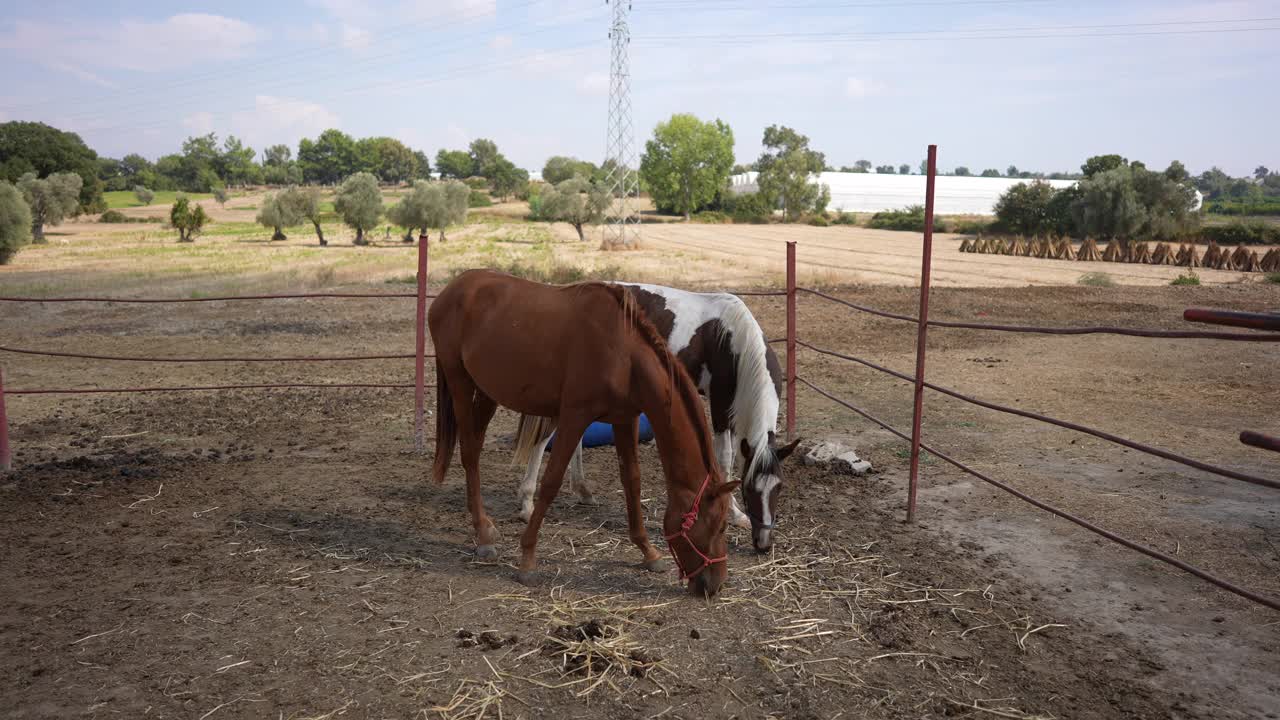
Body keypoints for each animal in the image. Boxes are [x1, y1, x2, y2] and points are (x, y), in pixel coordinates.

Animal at [430, 269, 742, 594]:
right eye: (720, 525)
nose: (715, 584)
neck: (624, 356)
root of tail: (453, 289)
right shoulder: (574, 417)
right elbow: (551, 482)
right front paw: (527, 560)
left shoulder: (625, 419)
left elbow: (632, 482)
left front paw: (648, 552)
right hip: (459, 381)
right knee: (469, 452)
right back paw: (482, 535)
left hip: (487, 392)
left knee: (475, 449)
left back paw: (486, 528)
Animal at [512, 283, 793, 550]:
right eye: (750, 489)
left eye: (779, 487)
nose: (763, 544)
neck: (735, 343)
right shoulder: (720, 407)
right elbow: (724, 460)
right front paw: (734, 512)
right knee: (543, 438)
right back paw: (527, 503)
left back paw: (583, 490)